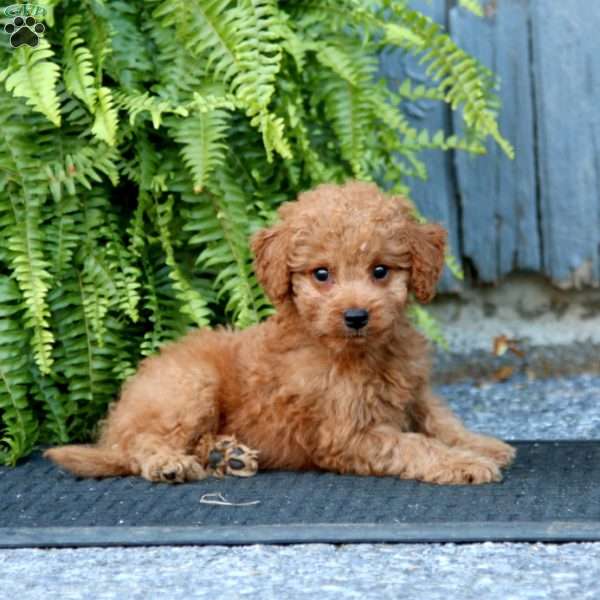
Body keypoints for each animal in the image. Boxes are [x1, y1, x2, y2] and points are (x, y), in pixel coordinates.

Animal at [48, 182, 516, 482]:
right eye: (321, 274)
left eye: (380, 271)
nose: (356, 316)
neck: (360, 352)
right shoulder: (346, 435)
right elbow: (414, 445)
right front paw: (463, 464)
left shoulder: (414, 390)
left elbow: (440, 419)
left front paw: (481, 445)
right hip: (188, 387)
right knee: (138, 444)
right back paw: (171, 464)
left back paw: (225, 455)